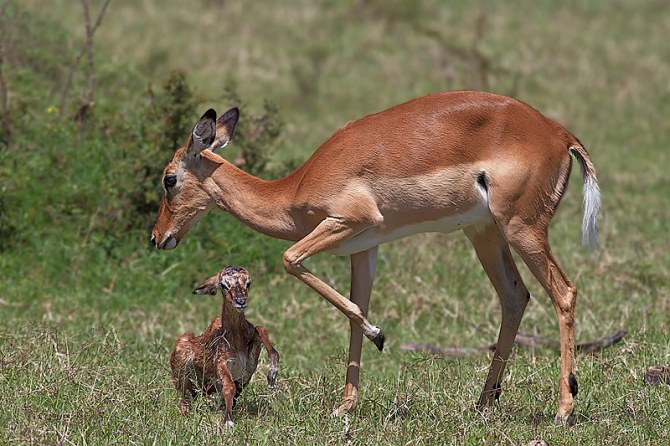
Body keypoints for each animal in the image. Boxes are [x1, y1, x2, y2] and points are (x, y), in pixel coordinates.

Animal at [170, 266, 279, 426]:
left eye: (248, 283)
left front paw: (272, 374)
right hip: (183, 374)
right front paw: (229, 421)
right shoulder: (221, 361)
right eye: (223, 285)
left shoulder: (246, 369)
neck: (237, 341)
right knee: (185, 400)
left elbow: (261, 328)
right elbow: (228, 386)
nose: (240, 301)